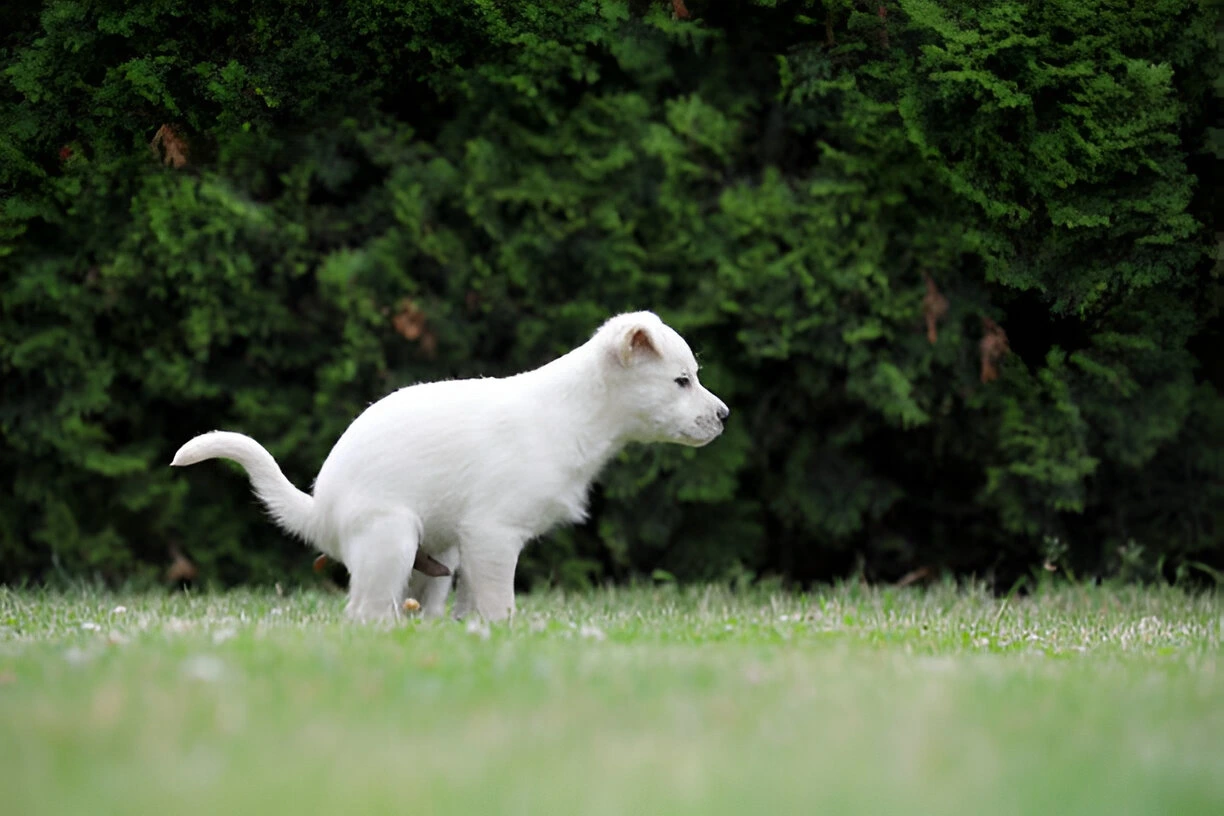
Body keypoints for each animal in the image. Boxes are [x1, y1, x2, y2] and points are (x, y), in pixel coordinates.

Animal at [171, 313, 724, 626]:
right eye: (681, 381)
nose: (724, 416)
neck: (572, 413)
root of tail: (319, 509)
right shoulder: (494, 534)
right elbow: (500, 603)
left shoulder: (473, 547)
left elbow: (472, 605)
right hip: (391, 541)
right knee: (364, 612)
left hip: (437, 559)